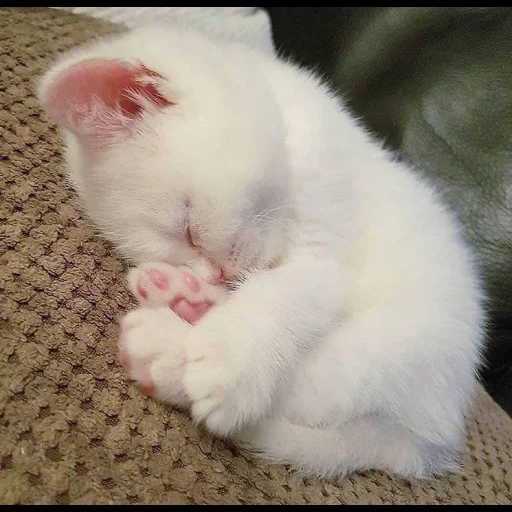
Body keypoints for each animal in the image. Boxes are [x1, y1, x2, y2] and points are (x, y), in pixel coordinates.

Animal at [38, 25, 486, 480]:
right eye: (180, 245)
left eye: (189, 228)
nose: (214, 273)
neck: (289, 126)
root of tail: (428, 443)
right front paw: (196, 288)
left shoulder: (326, 242)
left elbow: (283, 292)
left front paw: (229, 361)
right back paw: (183, 299)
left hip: (394, 344)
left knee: (316, 388)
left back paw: (165, 353)